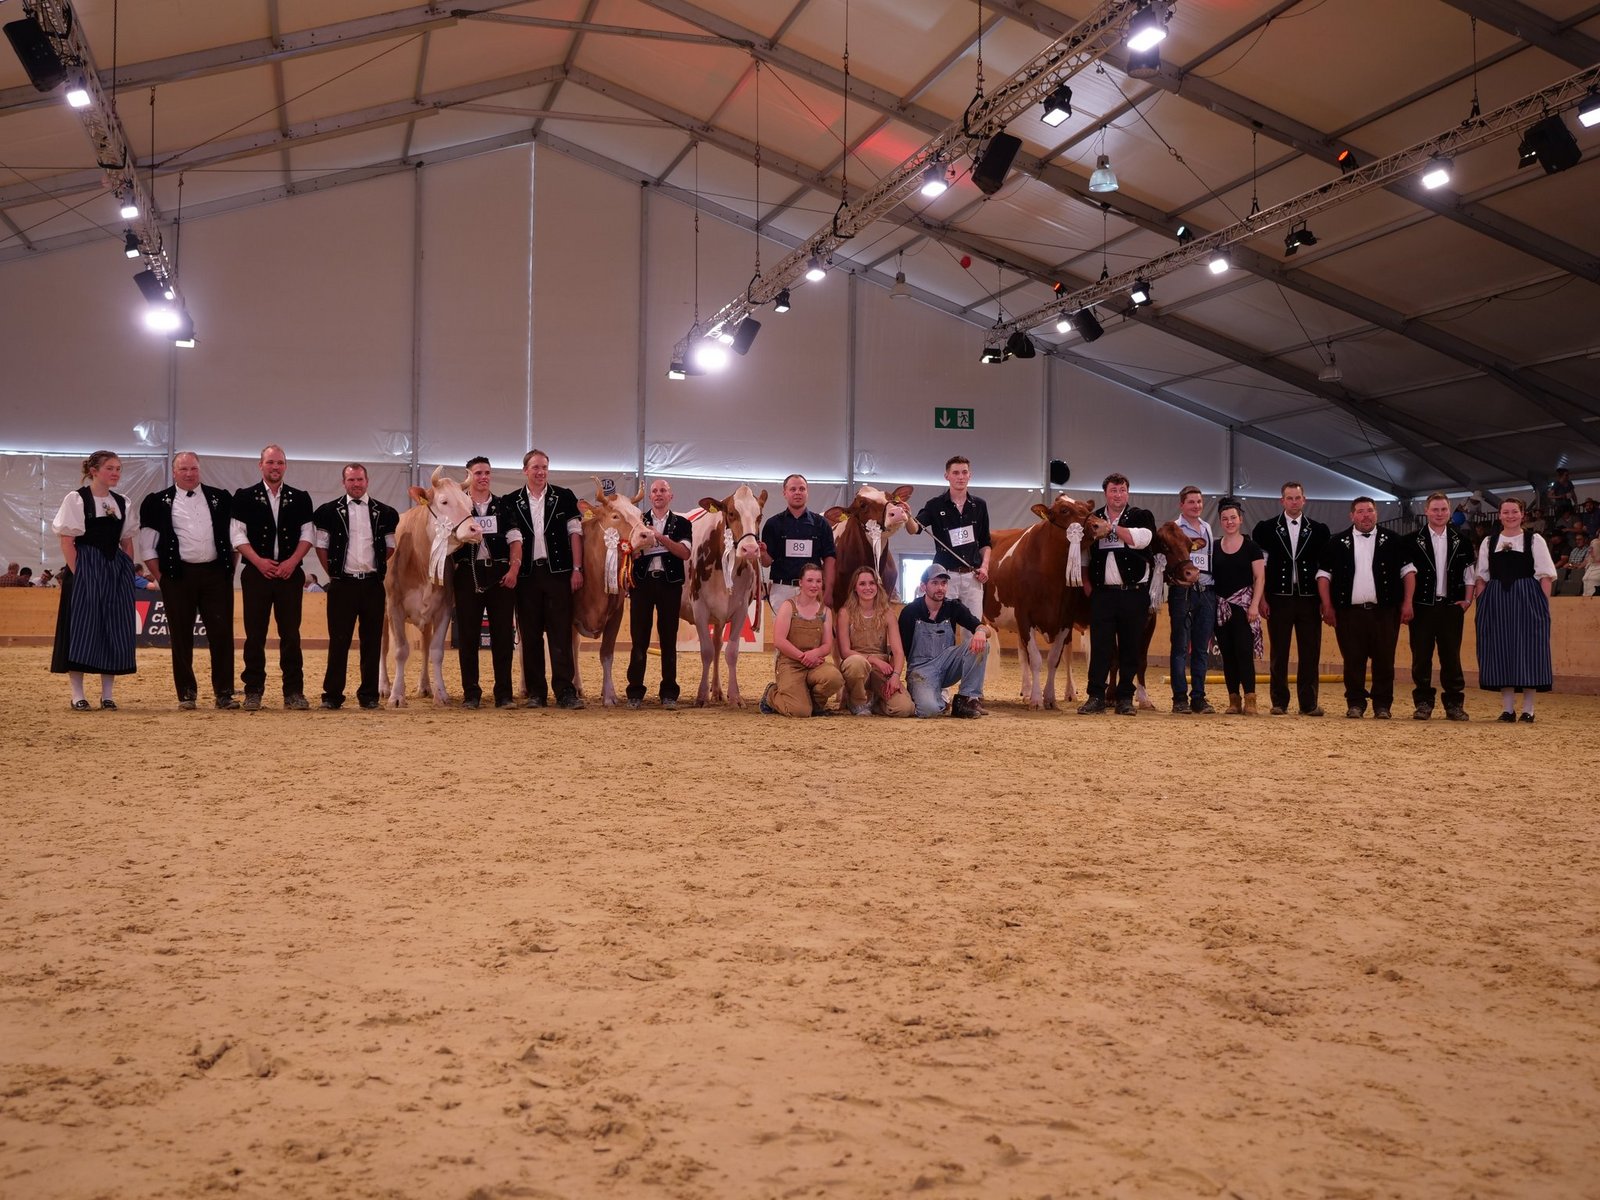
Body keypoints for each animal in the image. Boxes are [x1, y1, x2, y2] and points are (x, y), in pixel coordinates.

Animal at [381, 468, 484, 707]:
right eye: (444, 501)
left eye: (469, 503)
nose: (475, 529)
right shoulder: (395, 606)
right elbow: (400, 650)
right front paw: (396, 695)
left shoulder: (443, 608)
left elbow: (436, 651)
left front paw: (441, 694)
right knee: (383, 646)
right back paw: (384, 686)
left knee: (426, 645)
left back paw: (425, 686)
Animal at [570, 482, 654, 706]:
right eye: (615, 516)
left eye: (640, 515)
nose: (648, 535)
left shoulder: (616, 613)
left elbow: (606, 654)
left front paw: (609, 694)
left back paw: (578, 685)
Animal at [681, 485, 767, 707]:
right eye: (731, 513)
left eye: (759, 515)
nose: (750, 549)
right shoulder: (699, 607)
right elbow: (706, 652)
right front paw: (701, 696)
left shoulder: (740, 609)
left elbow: (731, 651)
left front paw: (735, 696)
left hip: (719, 617)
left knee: (718, 644)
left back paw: (718, 691)